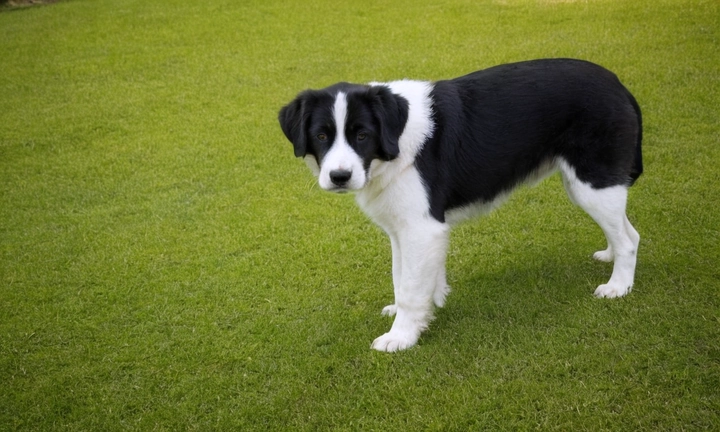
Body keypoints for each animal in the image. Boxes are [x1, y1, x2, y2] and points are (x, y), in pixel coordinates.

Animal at [278, 60, 644, 352]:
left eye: (362, 135)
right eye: (322, 136)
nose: (339, 176)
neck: (395, 141)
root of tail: (618, 83)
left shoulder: (422, 229)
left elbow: (410, 287)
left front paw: (401, 336)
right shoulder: (403, 229)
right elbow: (402, 277)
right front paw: (419, 310)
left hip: (592, 181)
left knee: (629, 240)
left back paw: (618, 286)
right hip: (585, 183)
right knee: (627, 230)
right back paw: (609, 255)